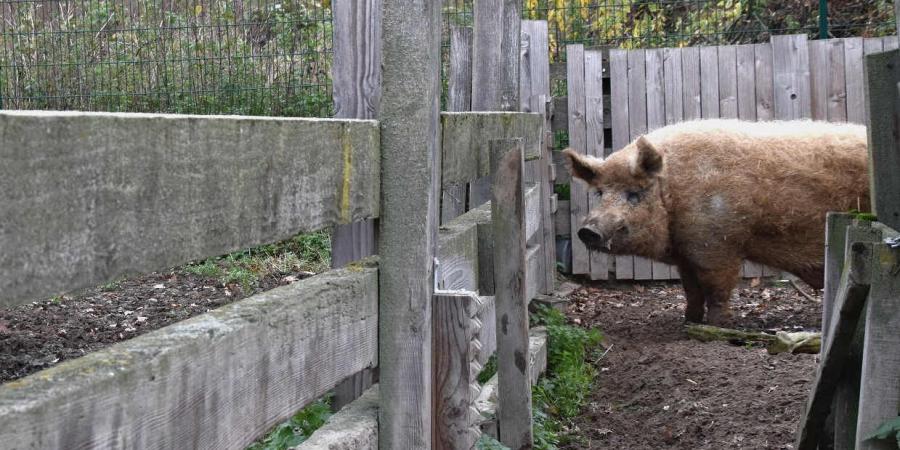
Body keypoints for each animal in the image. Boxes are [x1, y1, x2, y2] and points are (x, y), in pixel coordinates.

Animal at [568, 118, 868, 326]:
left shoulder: (716, 245)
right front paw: (688, 321)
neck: (673, 191)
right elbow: (691, 290)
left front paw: (716, 326)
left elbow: (716, 289)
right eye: (600, 193)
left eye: (634, 194)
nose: (588, 230)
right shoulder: (686, 256)